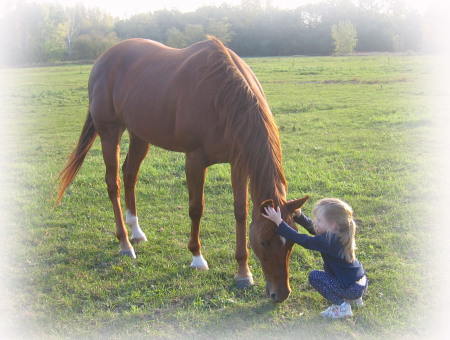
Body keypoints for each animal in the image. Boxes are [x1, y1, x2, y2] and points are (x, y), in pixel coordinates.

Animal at [57, 37, 310, 302]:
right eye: (264, 241)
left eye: (292, 241)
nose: (280, 294)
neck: (222, 97)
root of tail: (102, 60)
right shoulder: (195, 160)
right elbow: (196, 209)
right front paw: (197, 258)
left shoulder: (239, 162)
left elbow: (240, 212)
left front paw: (243, 272)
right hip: (109, 133)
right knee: (113, 182)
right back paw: (125, 243)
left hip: (140, 135)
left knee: (129, 175)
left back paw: (136, 232)